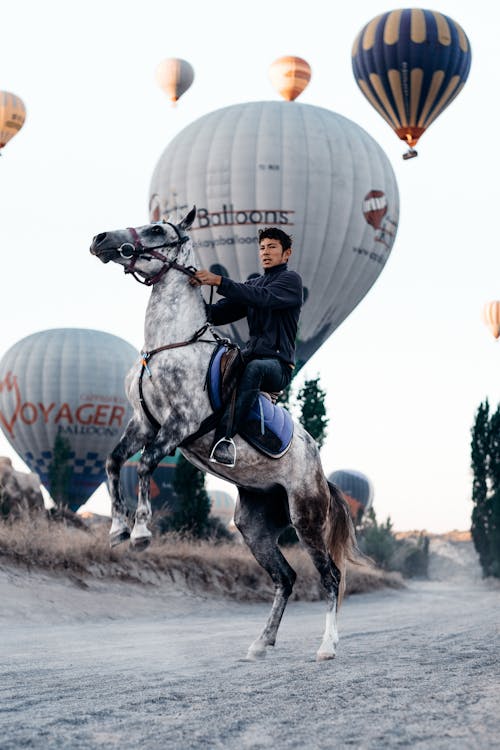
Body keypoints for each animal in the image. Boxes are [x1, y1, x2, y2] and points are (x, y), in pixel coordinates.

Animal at [90, 209, 356, 660]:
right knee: (285, 578)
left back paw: (327, 646)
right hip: (254, 526)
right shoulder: (143, 424)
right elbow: (113, 461)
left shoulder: (178, 425)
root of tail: (320, 472)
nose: (100, 239)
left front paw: (141, 533)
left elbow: (144, 466)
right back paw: (260, 643)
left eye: (157, 229)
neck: (169, 345)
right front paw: (117, 530)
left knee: (331, 577)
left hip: (306, 518)